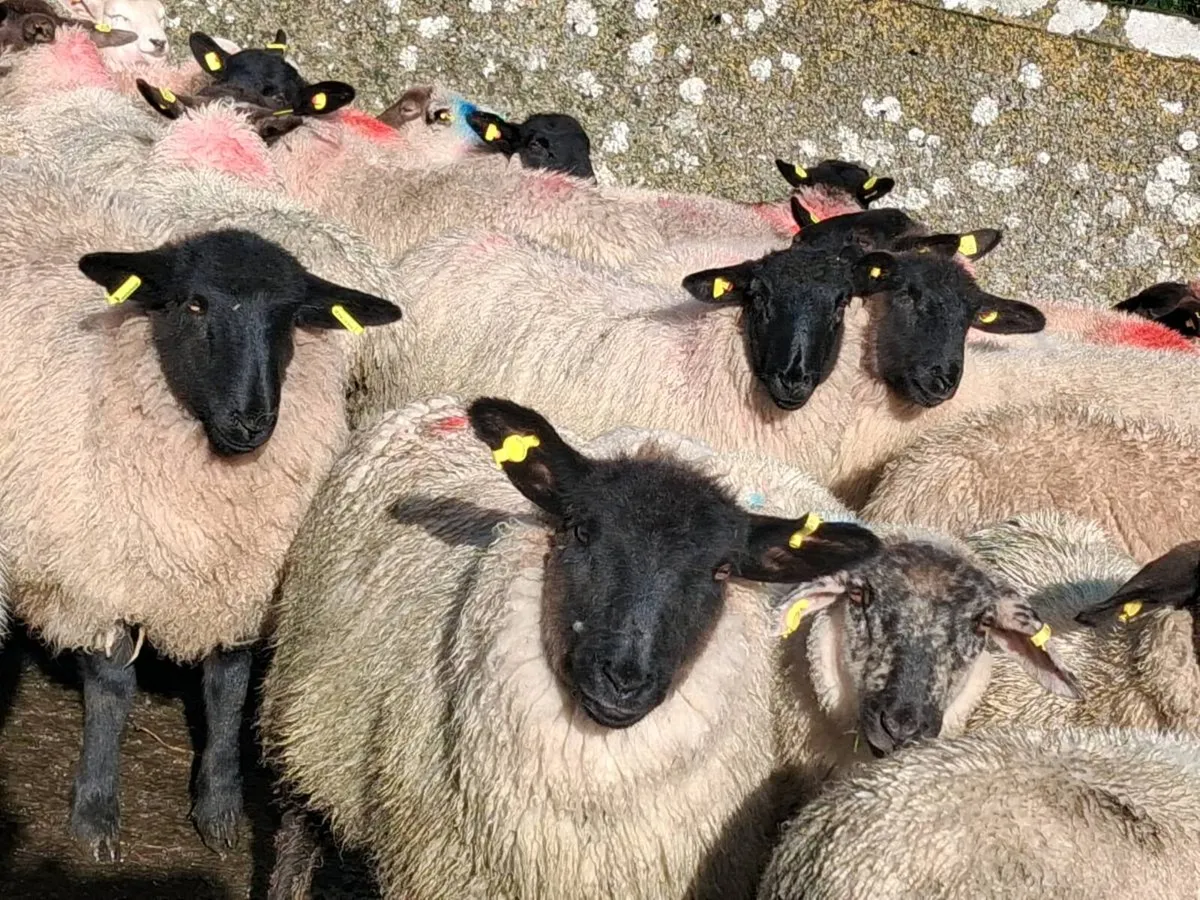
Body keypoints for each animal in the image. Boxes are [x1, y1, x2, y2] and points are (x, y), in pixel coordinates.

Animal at [0, 164, 402, 860]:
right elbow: (112, 688)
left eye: (291, 316)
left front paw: (218, 807)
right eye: (194, 304)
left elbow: (229, 687)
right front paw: (96, 811)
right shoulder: (101, 566)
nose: (252, 421)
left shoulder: (244, 572)